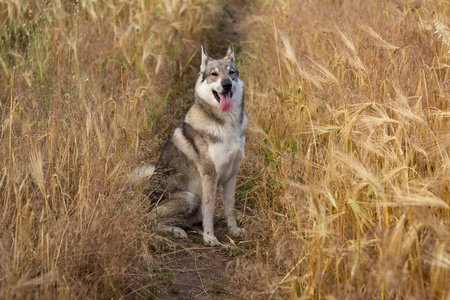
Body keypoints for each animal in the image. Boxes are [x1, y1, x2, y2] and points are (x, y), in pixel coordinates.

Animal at [134, 44, 246, 246]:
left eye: (231, 73)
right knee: (150, 221)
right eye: (214, 74)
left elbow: (230, 208)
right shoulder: (209, 175)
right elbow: (210, 209)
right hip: (190, 197)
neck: (227, 124)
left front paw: (233, 231)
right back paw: (177, 232)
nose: (227, 85)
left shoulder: (232, 175)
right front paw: (209, 238)